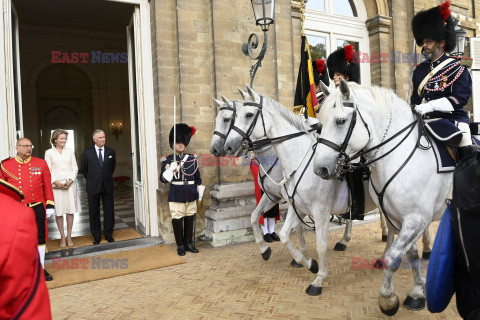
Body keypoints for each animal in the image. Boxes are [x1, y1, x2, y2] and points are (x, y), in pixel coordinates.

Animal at [221, 85, 378, 296]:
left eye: (248, 114)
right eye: (233, 117)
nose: (227, 146)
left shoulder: (319, 211)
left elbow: (319, 244)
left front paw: (318, 278)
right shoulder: (292, 204)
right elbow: (280, 232)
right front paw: (306, 263)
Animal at [314, 80, 448, 316]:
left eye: (340, 121)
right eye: (319, 125)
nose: (320, 169)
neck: (398, 156)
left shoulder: (416, 219)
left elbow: (393, 257)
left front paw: (388, 298)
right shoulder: (398, 218)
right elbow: (410, 254)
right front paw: (417, 290)